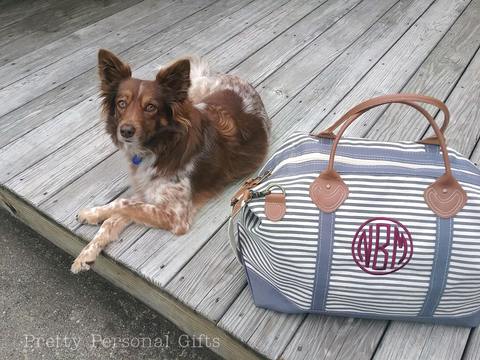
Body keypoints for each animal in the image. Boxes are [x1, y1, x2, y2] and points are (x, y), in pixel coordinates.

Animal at [70, 48, 270, 272]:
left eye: (150, 107)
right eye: (122, 103)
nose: (126, 131)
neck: (160, 146)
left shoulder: (176, 216)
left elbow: (124, 204)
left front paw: (92, 219)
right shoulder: (147, 192)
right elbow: (115, 215)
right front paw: (88, 242)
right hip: (193, 98)